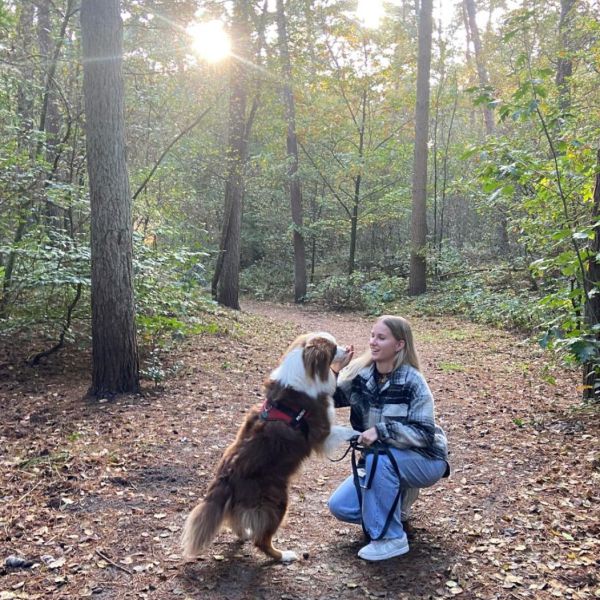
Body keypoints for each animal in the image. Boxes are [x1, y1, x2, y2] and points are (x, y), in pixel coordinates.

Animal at [180, 332, 354, 564]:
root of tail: (227, 477)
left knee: (237, 522)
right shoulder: (322, 434)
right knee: (261, 541)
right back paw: (283, 555)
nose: (349, 348)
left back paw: (245, 533)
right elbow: (347, 430)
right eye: (334, 349)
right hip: (278, 500)